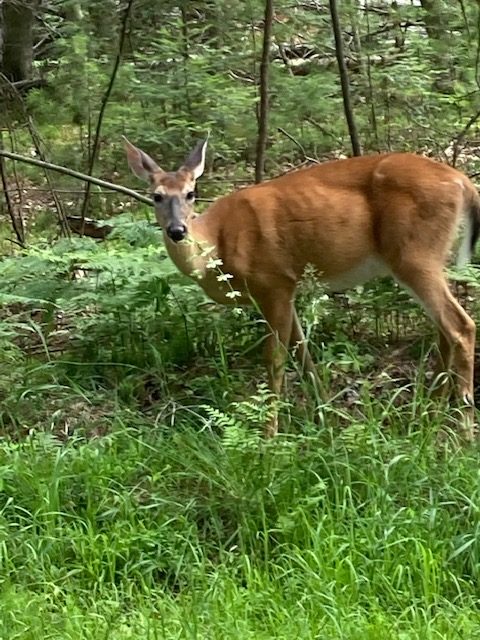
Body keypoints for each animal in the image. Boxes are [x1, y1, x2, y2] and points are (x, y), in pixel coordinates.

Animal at [124, 136, 480, 440]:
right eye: (156, 196)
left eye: (190, 193)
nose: (177, 230)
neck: (217, 246)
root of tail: (462, 181)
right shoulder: (284, 289)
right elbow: (302, 352)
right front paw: (326, 416)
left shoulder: (273, 281)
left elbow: (275, 359)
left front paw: (270, 434)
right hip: (427, 256)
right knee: (444, 330)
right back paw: (427, 415)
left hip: (414, 253)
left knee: (461, 325)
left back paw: (462, 427)